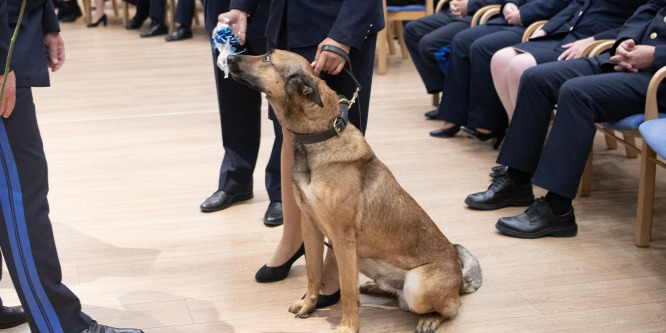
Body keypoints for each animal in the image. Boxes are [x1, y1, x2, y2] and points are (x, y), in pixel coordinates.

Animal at [226, 50, 480, 332]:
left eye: (267, 59)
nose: (229, 57)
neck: (320, 135)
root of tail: (459, 280)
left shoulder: (342, 238)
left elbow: (347, 289)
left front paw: (348, 326)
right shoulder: (311, 226)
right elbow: (313, 273)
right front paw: (308, 305)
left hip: (419, 287)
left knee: (451, 307)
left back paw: (430, 318)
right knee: (398, 294)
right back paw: (376, 289)